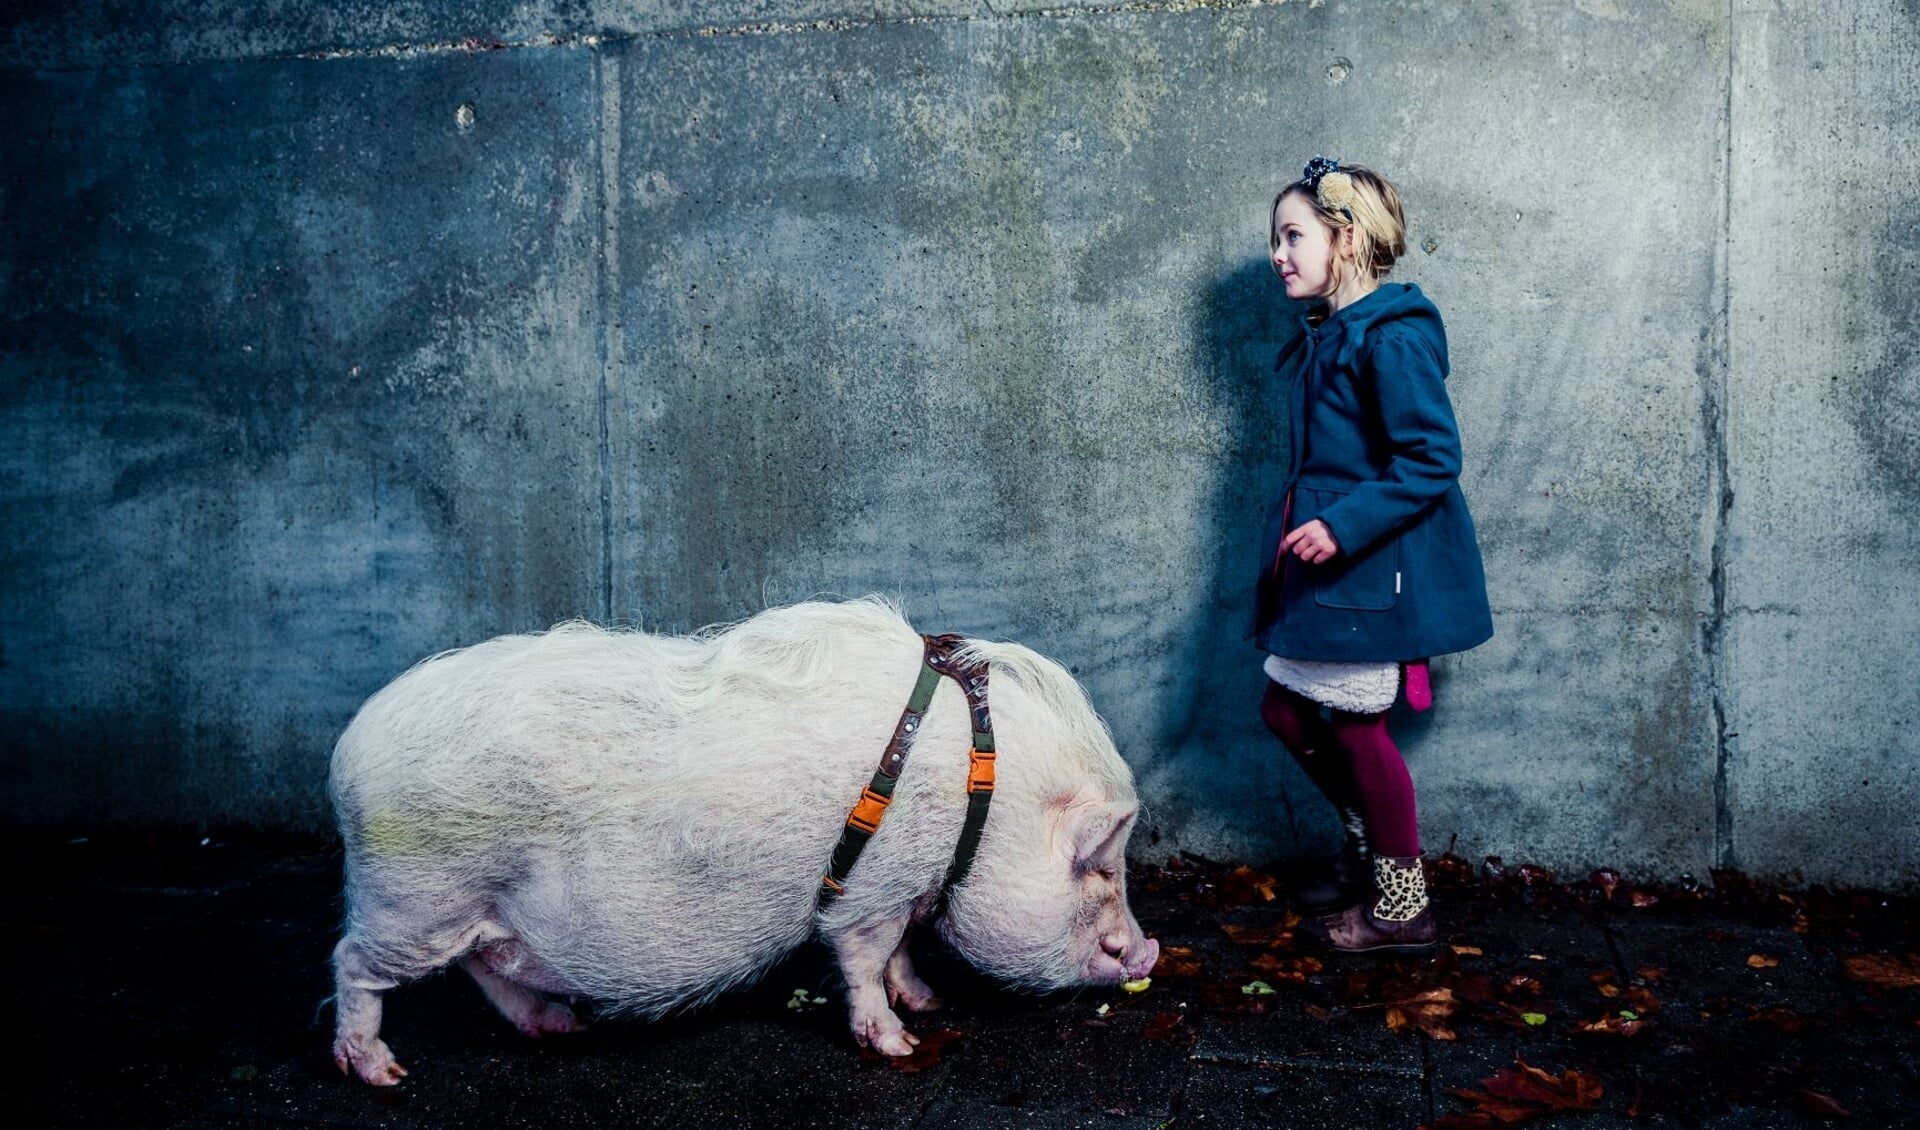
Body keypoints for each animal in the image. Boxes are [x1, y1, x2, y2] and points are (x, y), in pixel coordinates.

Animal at [330, 598, 1152, 1082]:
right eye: (1099, 869)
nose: (1149, 953)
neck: (983, 794)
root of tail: (346, 755)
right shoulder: (873, 893)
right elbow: (863, 960)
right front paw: (901, 1045)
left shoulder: (906, 886)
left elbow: (900, 954)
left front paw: (929, 1004)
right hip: (414, 896)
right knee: (352, 964)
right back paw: (381, 1073)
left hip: (472, 911)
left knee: (484, 966)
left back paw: (558, 1026)